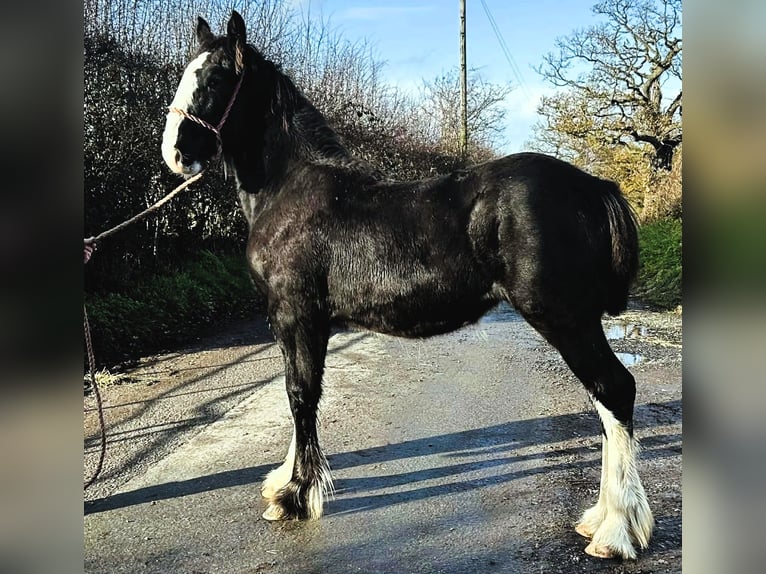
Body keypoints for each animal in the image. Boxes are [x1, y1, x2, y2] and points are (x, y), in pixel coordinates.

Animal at [161, 11, 653, 560]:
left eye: (216, 78)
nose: (175, 153)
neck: (291, 190)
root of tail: (593, 187)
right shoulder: (303, 321)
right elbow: (302, 393)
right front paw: (284, 482)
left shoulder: (295, 314)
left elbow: (300, 394)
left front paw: (294, 497)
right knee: (606, 402)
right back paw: (600, 520)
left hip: (564, 317)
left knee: (614, 390)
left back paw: (616, 531)